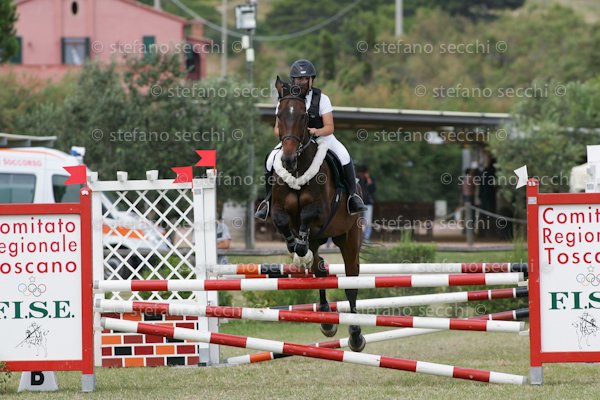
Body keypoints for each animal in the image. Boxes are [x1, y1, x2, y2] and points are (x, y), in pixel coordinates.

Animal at [270, 76, 365, 352]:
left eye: (304, 116)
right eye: (279, 114)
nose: (288, 160)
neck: (299, 170)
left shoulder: (321, 212)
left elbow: (308, 213)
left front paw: (298, 248)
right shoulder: (278, 210)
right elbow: (282, 220)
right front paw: (294, 247)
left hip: (348, 237)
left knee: (351, 281)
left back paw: (355, 335)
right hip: (319, 238)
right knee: (319, 271)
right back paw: (325, 317)